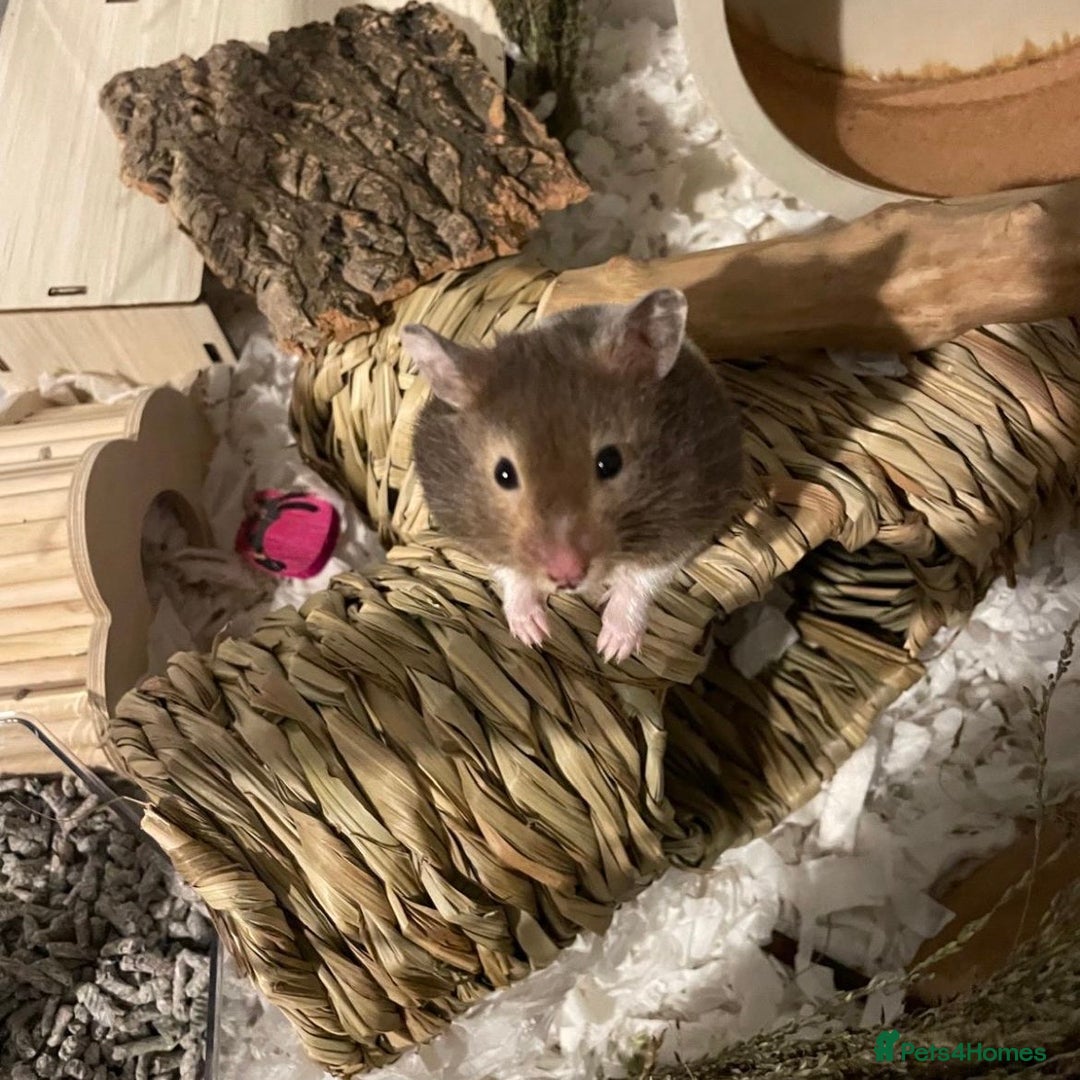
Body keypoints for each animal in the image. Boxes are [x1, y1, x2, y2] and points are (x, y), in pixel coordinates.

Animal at [400, 288, 743, 662]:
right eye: (503, 474)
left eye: (610, 462)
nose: (567, 577)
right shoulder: (469, 528)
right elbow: (511, 573)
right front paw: (532, 634)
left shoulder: (691, 517)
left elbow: (642, 579)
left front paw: (612, 650)